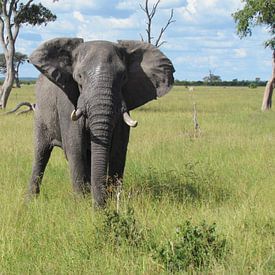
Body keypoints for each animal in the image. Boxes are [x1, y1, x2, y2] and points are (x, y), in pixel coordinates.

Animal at [27, 38, 175, 207]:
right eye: (79, 77)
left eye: (123, 77)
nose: (100, 207)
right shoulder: (66, 104)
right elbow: (75, 148)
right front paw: (81, 205)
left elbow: (118, 150)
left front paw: (113, 200)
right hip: (40, 114)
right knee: (41, 153)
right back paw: (30, 202)